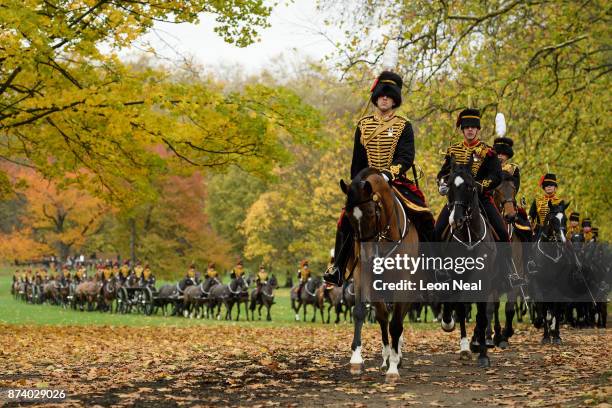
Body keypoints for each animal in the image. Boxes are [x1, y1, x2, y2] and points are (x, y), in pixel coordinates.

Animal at [340, 167, 420, 378]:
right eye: (348, 216)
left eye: (370, 212)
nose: (367, 256)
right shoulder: (363, 274)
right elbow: (361, 312)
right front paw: (357, 359)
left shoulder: (403, 282)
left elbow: (396, 324)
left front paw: (394, 366)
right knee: (384, 317)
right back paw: (386, 357)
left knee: (398, 319)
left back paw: (396, 355)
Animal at [442, 161, 500, 368]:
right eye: (449, 185)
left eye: (469, 186)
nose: (456, 220)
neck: (469, 235)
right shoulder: (457, 276)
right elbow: (460, 308)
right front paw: (466, 347)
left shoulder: (485, 279)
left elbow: (482, 313)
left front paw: (483, 353)